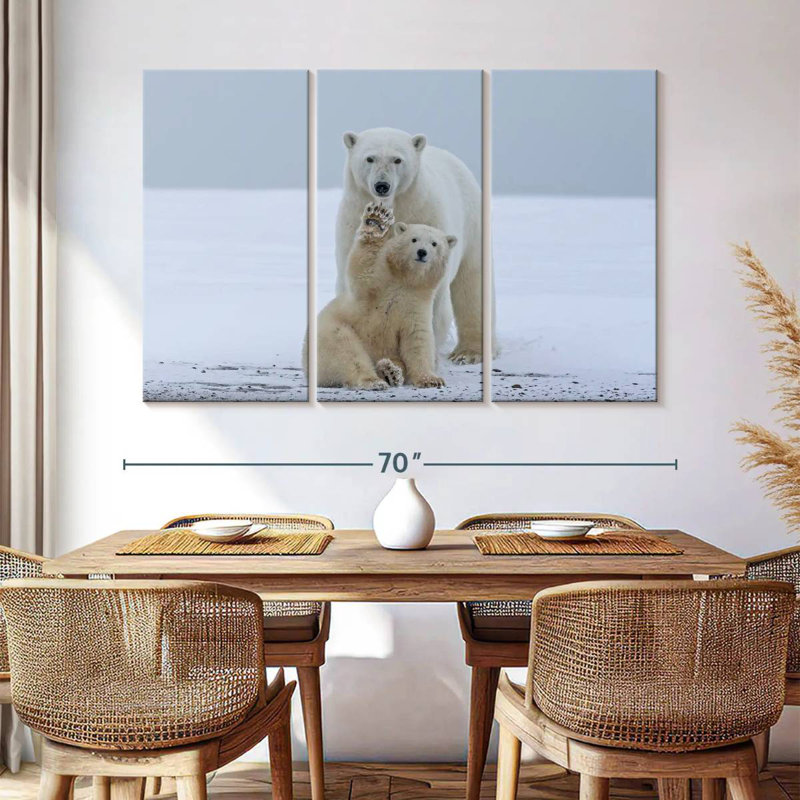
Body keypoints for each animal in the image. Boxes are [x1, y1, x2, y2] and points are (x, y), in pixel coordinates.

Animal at [316, 202, 456, 390]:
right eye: (414, 239)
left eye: (434, 244)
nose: (422, 252)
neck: (404, 280)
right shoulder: (377, 285)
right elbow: (362, 269)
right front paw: (376, 220)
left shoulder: (417, 304)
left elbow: (418, 339)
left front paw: (431, 379)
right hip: (331, 332)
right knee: (346, 350)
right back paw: (373, 380)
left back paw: (391, 371)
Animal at [335, 127, 493, 365]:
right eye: (370, 158)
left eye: (397, 159)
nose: (382, 185)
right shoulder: (352, 221)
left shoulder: (425, 214)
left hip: (472, 224)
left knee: (472, 283)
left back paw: (469, 352)